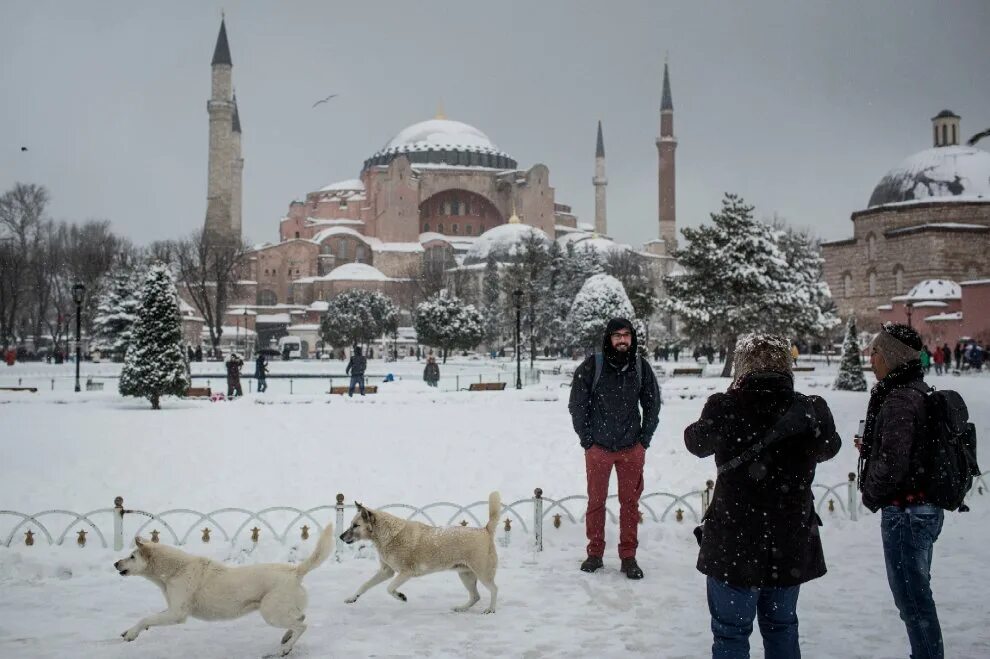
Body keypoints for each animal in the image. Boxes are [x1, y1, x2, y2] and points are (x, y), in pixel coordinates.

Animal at [114, 520, 336, 656]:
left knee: (302, 625)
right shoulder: (171, 610)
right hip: (279, 611)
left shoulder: (177, 614)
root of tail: (295, 570)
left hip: (270, 613)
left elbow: (146, 618)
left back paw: (286, 648)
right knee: (300, 618)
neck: (174, 570)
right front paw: (129, 631)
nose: (116, 563)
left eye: (132, 556)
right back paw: (286, 637)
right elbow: (148, 619)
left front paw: (132, 634)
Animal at [340, 490, 500, 612]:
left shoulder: (406, 573)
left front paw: (401, 596)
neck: (389, 535)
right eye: (351, 524)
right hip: (465, 575)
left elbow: (389, 588)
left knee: (494, 589)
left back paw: (491, 609)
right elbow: (365, 585)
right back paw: (461, 608)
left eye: (355, 525)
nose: (340, 537)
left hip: (482, 574)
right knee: (476, 596)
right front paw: (352, 598)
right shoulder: (387, 571)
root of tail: (485, 530)